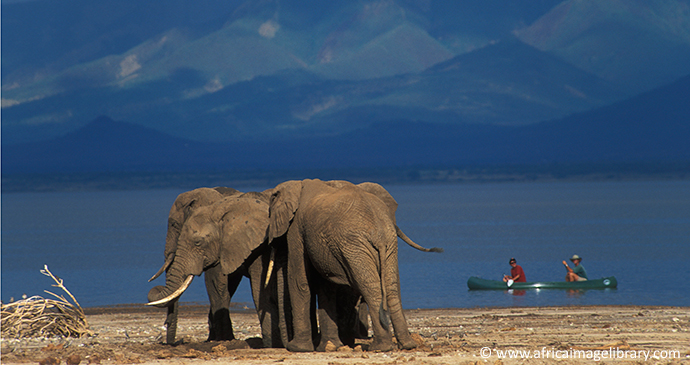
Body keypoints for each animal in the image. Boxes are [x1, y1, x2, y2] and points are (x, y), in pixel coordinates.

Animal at [145, 188, 288, 346]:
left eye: (174, 225)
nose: (171, 343)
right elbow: (226, 286)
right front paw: (217, 340)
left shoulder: (258, 246)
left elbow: (217, 285)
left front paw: (223, 340)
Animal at [266, 178, 438, 352]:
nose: (286, 345)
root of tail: (378, 232)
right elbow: (326, 286)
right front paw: (329, 346)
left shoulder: (297, 229)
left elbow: (298, 280)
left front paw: (298, 348)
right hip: (384, 243)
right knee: (390, 288)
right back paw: (407, 345)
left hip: (354, 245)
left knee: (370, 288)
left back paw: (379, 347)